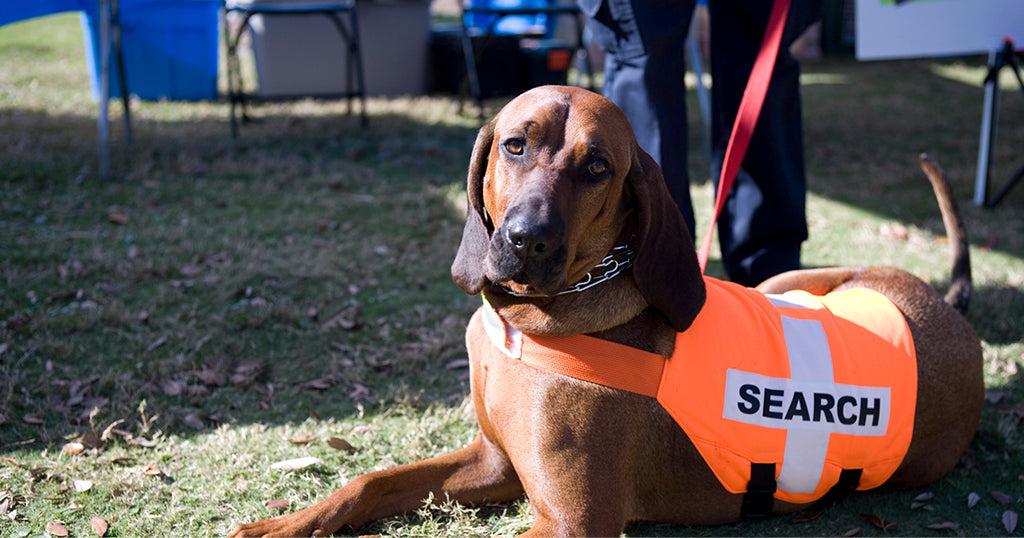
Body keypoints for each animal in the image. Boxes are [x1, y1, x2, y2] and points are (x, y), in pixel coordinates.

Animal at [230, 86, 983, 532]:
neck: (530, 324)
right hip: (788, 282)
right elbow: (371, 480)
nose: (526, 239)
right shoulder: (494, 463)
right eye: (515, 144)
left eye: (597, 168)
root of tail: (952, 311)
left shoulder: (571, 520)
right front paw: (280, 523)